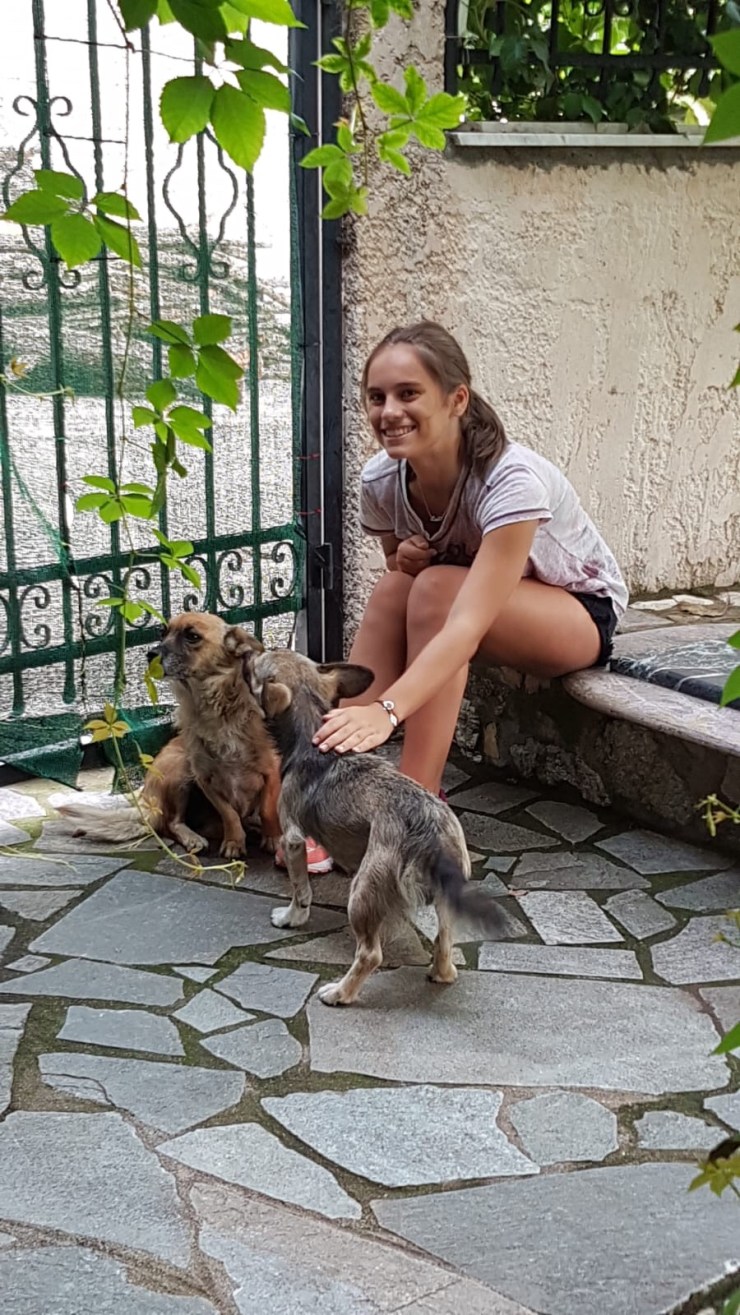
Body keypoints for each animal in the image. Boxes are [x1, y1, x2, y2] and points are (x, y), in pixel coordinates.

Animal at [57, 612, 282, 858]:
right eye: (162, 633)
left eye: (193, 636)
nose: (151, 654)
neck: (215, 709)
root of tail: (146, 799)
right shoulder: (205, 779)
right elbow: (229, 814)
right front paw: (234, 842)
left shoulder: (273, 771)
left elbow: (268, 809)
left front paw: (273, 838)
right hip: (180, 770)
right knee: (171, 824)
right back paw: (194, 838)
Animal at [245, 648, 506, 1006]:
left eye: (255, 667)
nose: (247, 651)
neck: (310, 737)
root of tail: (431, 833)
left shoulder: (293, 839)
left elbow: (301, 891)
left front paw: (290, 918)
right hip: (447, 893)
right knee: (444, 941)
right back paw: (440, 972)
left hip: (362, 891)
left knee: (370, 954)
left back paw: (339, 993)